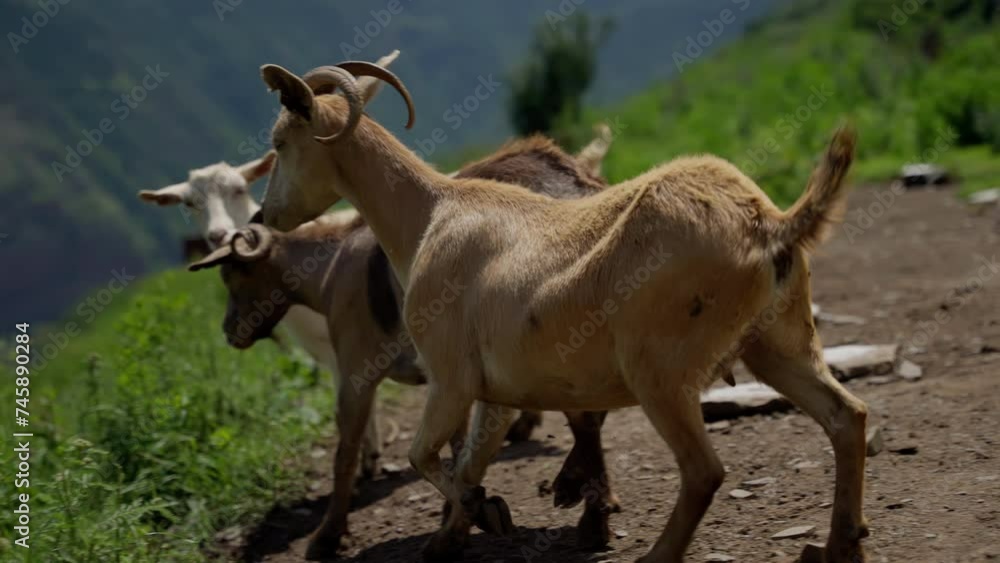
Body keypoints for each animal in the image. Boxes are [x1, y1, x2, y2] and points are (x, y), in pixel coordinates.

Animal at [189, 134, 620, 558]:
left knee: (585, 416)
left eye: (232, 275)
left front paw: (328, 535)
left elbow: (345, 452)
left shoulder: (357, 371)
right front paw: (460, 513)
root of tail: (582, 183)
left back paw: (586, 511)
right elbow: (460, 447)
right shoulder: (453, 376)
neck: (333, 266)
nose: (230, 332)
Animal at [255, 60, 871, 563]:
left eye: (281, 141)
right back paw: (839, 544)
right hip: (779, 341)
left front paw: (486, 511)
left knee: (703, 471)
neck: (429, 214)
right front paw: (454, 533)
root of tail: (770, 224)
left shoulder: (451, 376)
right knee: (847, 417)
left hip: (660, 370)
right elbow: (469, 458)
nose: (265, 215)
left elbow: (422, 455)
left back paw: (657, 555)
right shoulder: (495, 391)